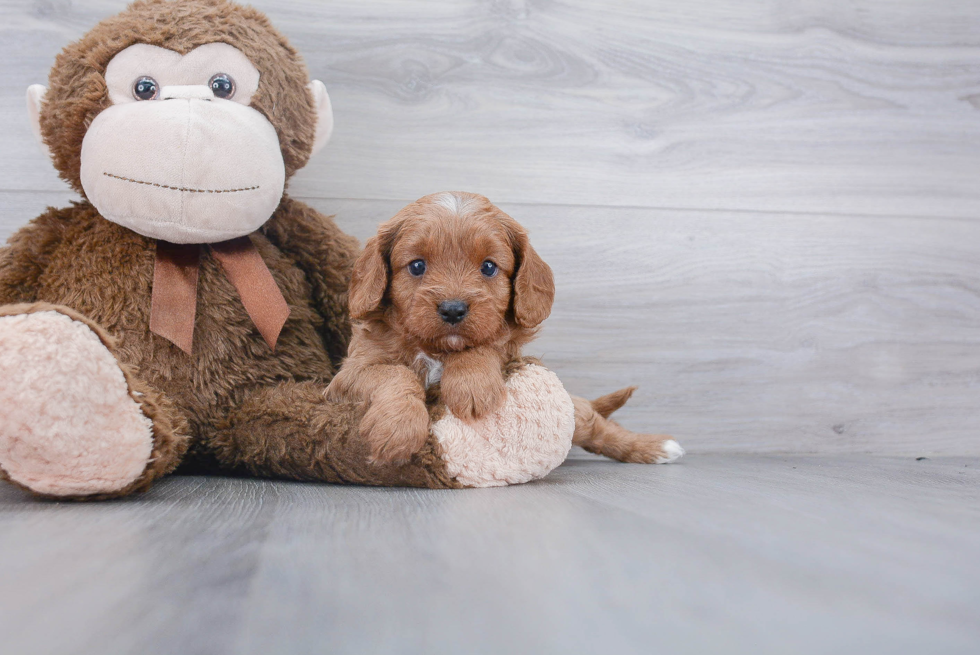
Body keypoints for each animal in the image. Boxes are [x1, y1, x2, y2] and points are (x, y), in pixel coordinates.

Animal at [326, 191, 684, 466]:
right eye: (416, 266)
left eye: (488, 267)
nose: (453, 309)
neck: (438, 350)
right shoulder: (346, 377)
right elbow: (395, 373)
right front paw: (397, 428)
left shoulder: (510, 352)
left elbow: (487, 343)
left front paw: (471, 383)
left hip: (573, 412)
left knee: (595, 425)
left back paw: (655, 447)